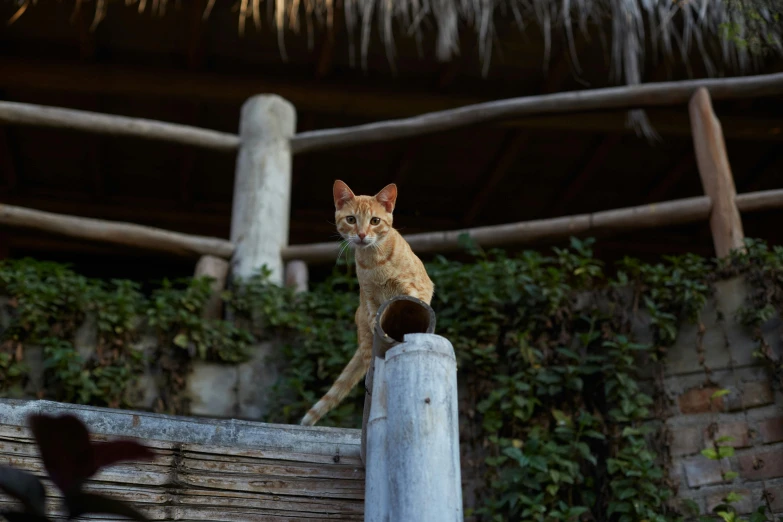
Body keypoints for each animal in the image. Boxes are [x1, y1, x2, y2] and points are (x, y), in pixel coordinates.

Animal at [300, 181, 434, 424]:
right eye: (351, 219)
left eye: (375, 221)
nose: (362, 234)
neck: (375, 261)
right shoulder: (369, 295)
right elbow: (374, 313)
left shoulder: (416, 286)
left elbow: (412, 299)